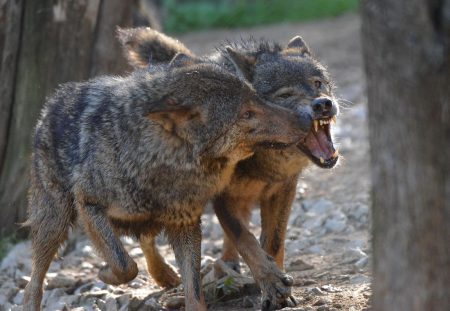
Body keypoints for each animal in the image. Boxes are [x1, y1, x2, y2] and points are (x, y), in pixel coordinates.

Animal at [22, 52, 310, 310]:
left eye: (256, 97)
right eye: (246, 114)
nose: (306, 118)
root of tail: (53, 102)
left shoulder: (185, 222)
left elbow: (193, 288)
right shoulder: (88, 202)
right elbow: (124, 265)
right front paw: (105, 273)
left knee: (146, 238)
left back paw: (163, 274)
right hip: (55, 222)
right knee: (34, 280)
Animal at [118, 27, 340, 311]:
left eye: (317, 83)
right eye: (285, 95)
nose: (323, 104)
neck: (262, 159)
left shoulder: (282, 190)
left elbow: (272, 242)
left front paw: (279, 288)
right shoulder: (222, 198)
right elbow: (245, 239)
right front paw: (271, 284)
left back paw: (227, 266)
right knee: (147, 237)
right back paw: (164, 274)